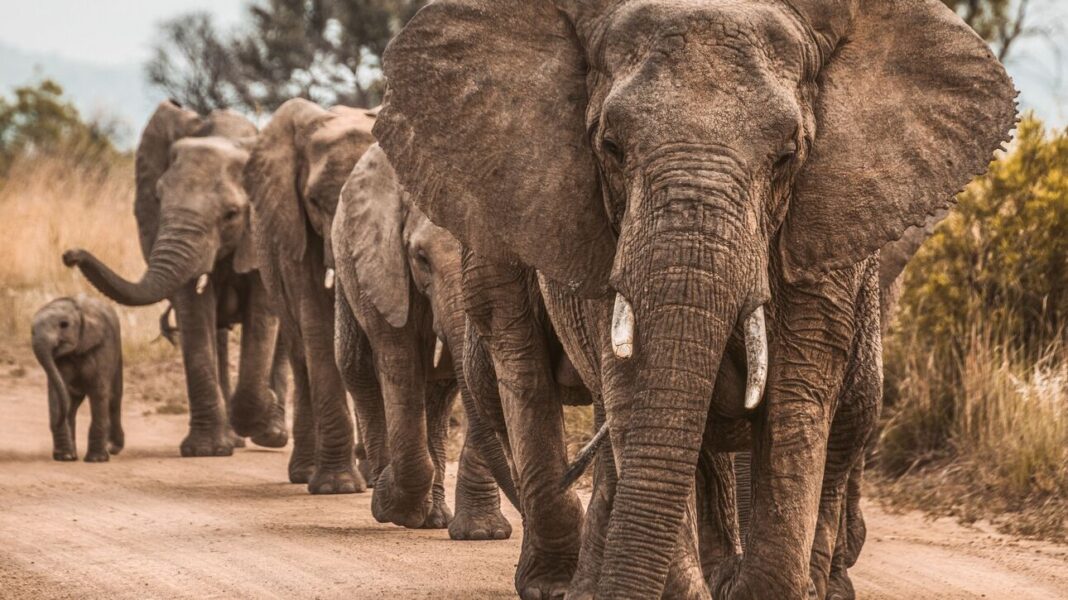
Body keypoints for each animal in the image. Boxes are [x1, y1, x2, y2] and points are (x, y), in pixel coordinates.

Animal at [31, 296, 123, 459]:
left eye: (64, 325)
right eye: (32, 331)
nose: (56, 422)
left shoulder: (103, 346)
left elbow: (99, 390)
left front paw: (96, 459)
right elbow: (57, 390)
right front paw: (65, 457)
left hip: (118, 353)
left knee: (114, 398)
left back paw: (113, 448)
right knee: (72, 404)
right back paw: (73, 455)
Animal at [64, 100, 286, 454]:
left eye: (232, 214)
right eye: (157, 199)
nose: (70, 255)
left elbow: (263, 314)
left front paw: (260, 410)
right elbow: (193, 313)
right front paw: (206, 451)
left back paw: (272, 435)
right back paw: (234, 439)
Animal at [242, 98, 380, 491]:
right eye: (315, 201)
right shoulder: (293, 227)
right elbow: (317, 322)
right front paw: (337, 486)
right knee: (301, 353)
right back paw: (305, 473)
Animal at [331, 141, 519, 533]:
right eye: (421, 258)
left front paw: (483, 533)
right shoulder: (384, 264)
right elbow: (399, 363)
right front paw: (393, 506)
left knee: (440, 393)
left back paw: (433, 518)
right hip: (347, 266)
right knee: (357, 369)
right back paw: (386, 495)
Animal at [375, 2, 1016, 593]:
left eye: (788, 156)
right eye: (610, 147)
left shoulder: (827, 226)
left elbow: (797, 399)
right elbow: (635, 390)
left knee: (847, 418)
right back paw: (568, 583)